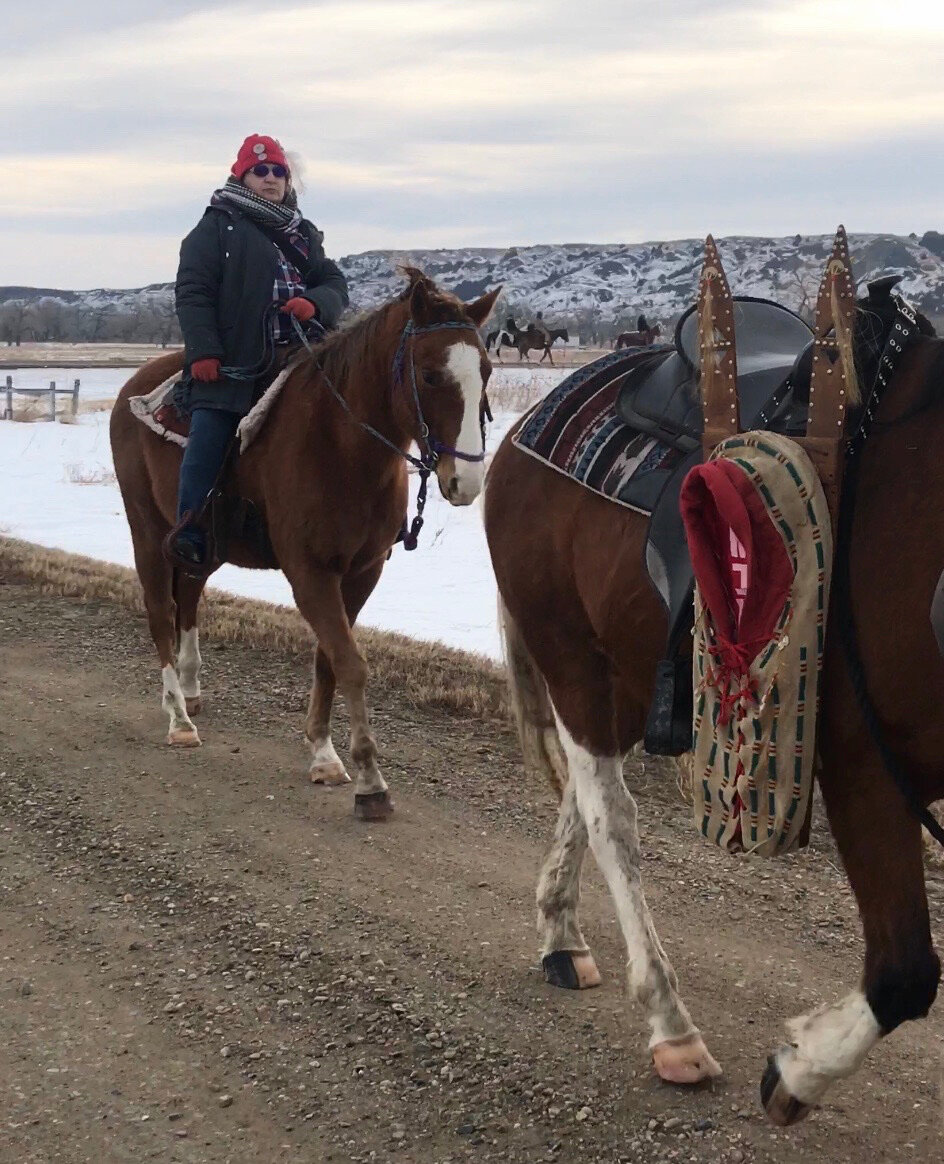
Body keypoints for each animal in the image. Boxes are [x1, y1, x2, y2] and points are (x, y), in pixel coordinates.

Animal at [111, 271, 502, 819]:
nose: (466, 482)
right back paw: (178, 719)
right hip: (147, 529)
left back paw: (190, 692)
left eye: (485, 370)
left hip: (199, 547)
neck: (342, 446)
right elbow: (351, 663)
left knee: (187, 599)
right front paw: (369, 780)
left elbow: (328, 659)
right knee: (159, 611)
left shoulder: (361, 572)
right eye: (429, 376)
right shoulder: (309, 572)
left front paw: (322, 752)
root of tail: (134, 385)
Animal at [484, 281, 944, 1117]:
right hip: (571, 653)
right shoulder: (866, 771)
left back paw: (562, 936)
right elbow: (903, 970)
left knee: (582, 794)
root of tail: (527, 428)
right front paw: (798, 1068)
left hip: (623, 668)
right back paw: (670, 1024)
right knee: (608, 815)